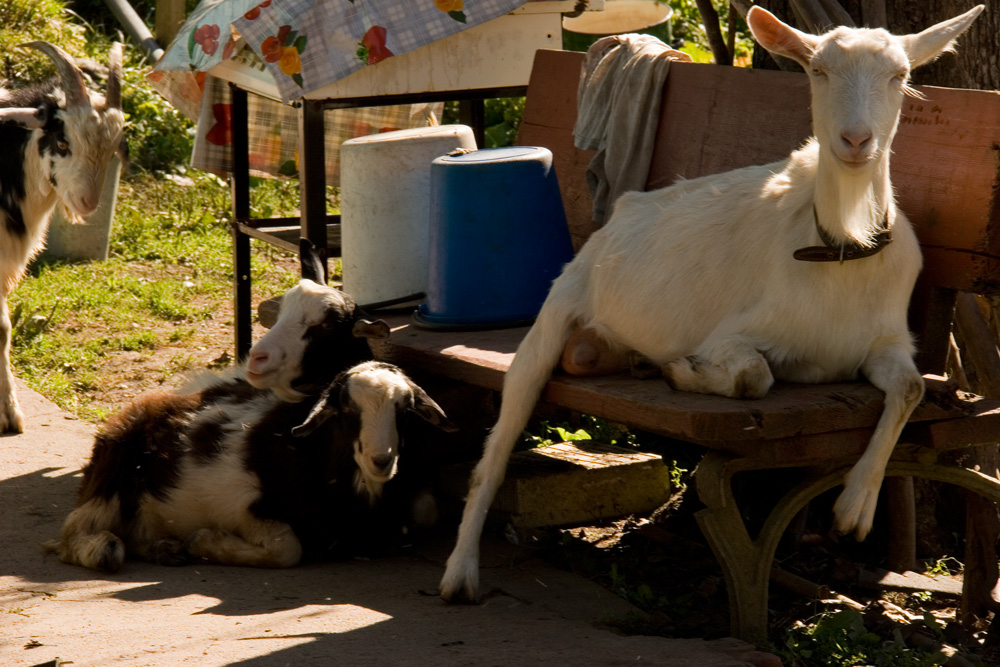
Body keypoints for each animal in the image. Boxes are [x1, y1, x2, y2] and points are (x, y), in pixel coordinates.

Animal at [43, 362, 456, 572]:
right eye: (347, 411)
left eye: (404, 410)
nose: (381, 460)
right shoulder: (243, 506)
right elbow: (288, 548)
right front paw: (204, 541)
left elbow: (428, 510)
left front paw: (193, 545)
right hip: (112, 472)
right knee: (73, 533)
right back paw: (103, 549)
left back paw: (164, 549)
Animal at [440, 3, 984, 604]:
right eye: (817, 71)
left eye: (900, 74)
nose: (856, 139)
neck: (841, 246)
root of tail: (625, 209)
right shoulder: (733, 335)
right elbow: (754, 378)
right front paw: (684, 371)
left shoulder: (885, 341)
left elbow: (911, 389)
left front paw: (853, 509)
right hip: (558, 306)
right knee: (495, 448)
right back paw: (459, 572)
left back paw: (625, 359)